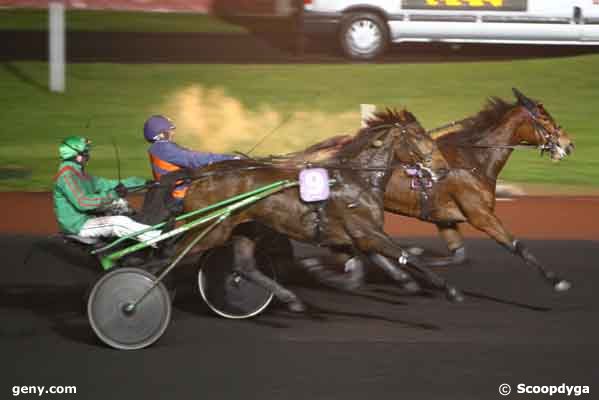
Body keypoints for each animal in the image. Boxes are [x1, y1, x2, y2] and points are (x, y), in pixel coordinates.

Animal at [176, 110, 462, 312]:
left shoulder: (357, 237)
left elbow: (364, 273)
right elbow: (407, 257)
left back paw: (290, 299)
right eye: (419, 137)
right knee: (174, 253)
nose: (442, 169)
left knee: (245, 267)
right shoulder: (367, 232)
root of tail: (202, 175)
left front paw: (406, 282)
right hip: (210, 229)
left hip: (247, 228)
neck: (356, 179)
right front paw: (452, 291)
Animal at [382, 89, 576, 292]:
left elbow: (458, 256)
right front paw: (557, 280)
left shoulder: (444, 219)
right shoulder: (481, 215)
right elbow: (517, 246)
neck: (472, 159)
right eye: (545, 118)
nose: (568, 143)